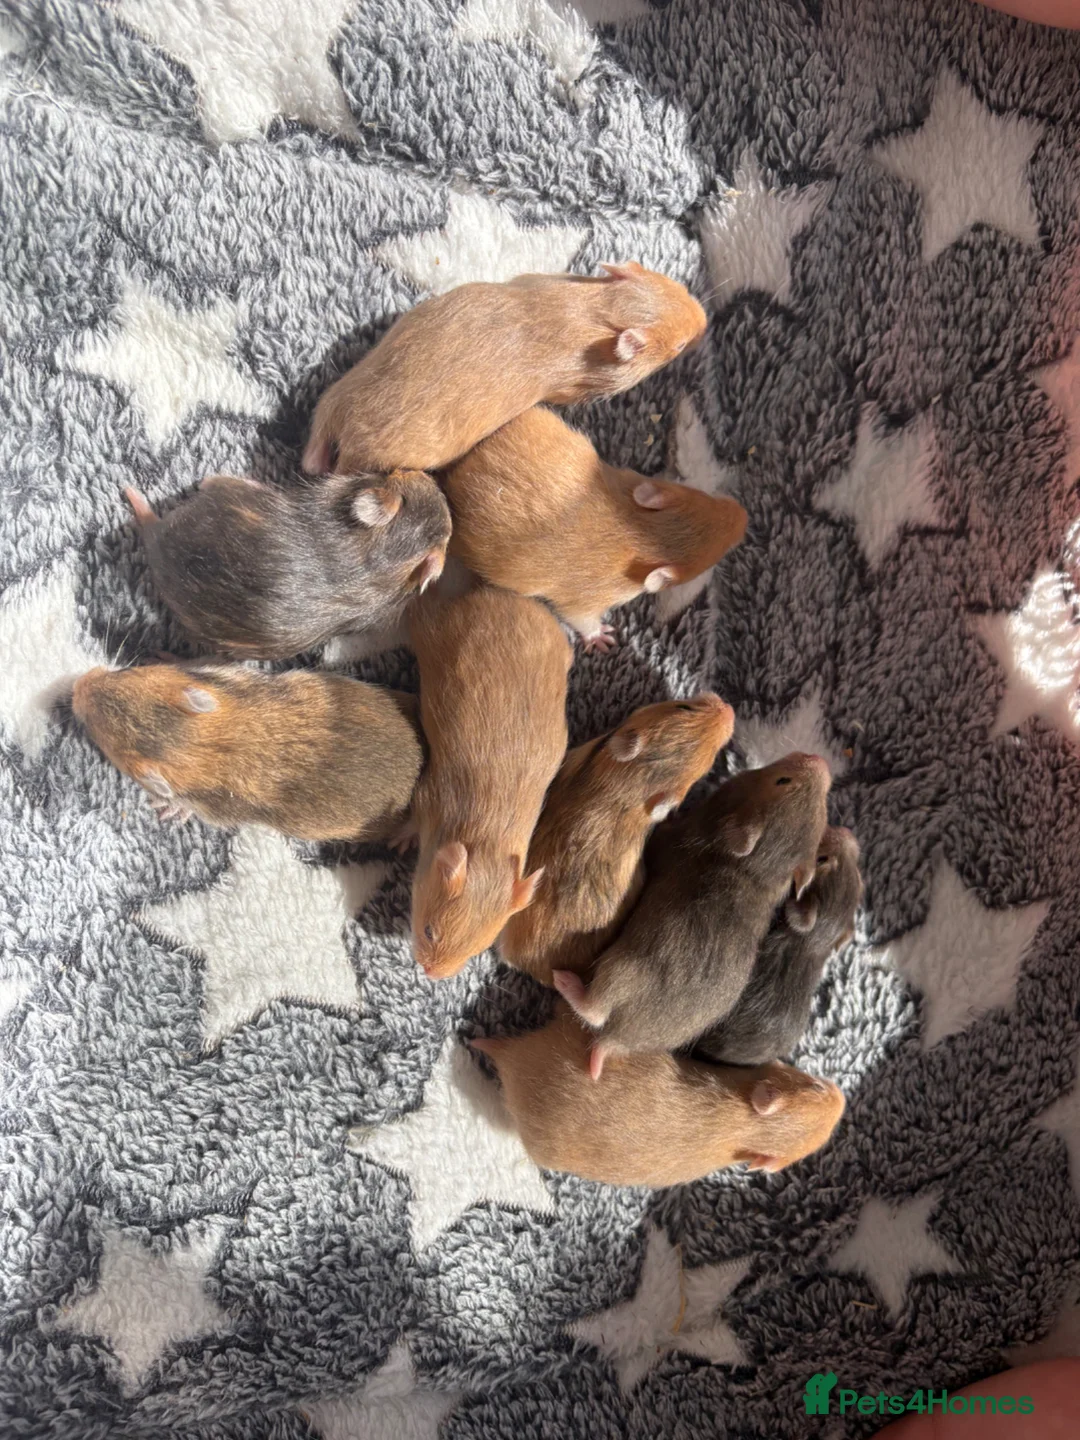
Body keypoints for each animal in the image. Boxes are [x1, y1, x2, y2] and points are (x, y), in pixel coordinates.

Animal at [71, 662, 424, 842]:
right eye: (124, 673)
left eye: (93, 729)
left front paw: (165, 808)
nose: (76, 684)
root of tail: (418, 759)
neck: (209, 746)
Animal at [302, 264, 707, 475]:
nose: (704, 321)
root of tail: (345, 425)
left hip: (339, 389)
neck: (598, 310)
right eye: (678, 346)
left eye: (679, 287)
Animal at [409, 584, 571, 978]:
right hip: (432, 630)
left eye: (477, 950)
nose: (431, 975)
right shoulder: (428, 797)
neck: (483, 839)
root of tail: (496, 594)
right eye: (429, 931)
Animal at [443, 406, 747, 649]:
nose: (744, 516)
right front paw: (600, 637)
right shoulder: (587, 599)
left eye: (706, 499)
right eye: (717, 553)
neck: (638, 531)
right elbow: (580, 618)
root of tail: (459, 476)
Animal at [554, 753, 832, 1077]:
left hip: (619, 970)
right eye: (824, 812)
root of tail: (617, 1040)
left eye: (782, 780)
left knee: (595, 1011)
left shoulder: (674, 841)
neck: (758, 870)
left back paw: (570, 986)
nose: (820, 760)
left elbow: (660, 839)